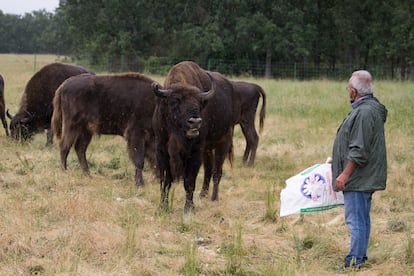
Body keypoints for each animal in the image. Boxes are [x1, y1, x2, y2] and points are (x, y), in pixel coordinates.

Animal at [153, 61, 236, 211]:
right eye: (175, 101)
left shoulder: (196, 152)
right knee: (209, 170)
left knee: (217, 172)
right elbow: (165, 180)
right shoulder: (161, 149)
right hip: (208, 149)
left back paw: (214, 198)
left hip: (223, 142)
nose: (195, 122)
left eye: (199, 103)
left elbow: (189, 180)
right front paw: (162, 206)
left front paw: (189, 208)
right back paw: (203, 195)